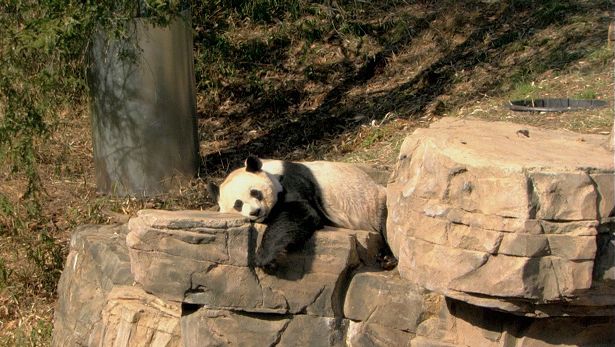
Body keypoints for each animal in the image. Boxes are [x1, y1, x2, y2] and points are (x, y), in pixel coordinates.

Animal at [207, 156, 394, 270]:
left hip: (375, 204)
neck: (271, 170)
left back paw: (387, 259)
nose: (255, 212)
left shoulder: (293, 182)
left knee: (387, 224)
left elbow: (300, 212)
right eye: (238, 204)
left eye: (255, 193)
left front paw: (264, 258)